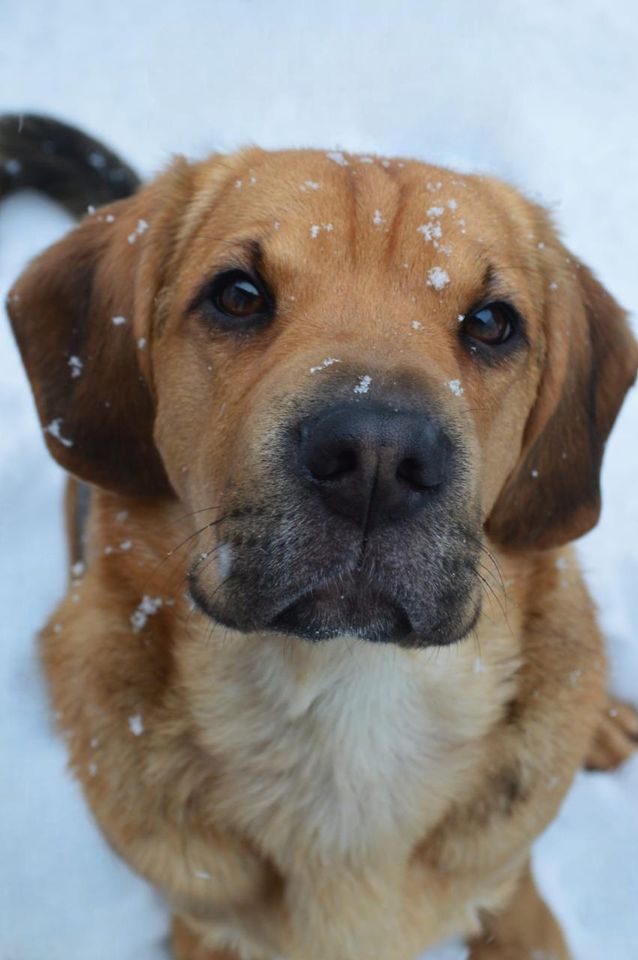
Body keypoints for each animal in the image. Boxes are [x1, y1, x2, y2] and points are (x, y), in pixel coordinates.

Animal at [1, 116, 638, 956]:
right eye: (238, 295)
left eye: (493, 322)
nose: (377, 459)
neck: (345, 707)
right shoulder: (204, 924)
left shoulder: (511, 888)